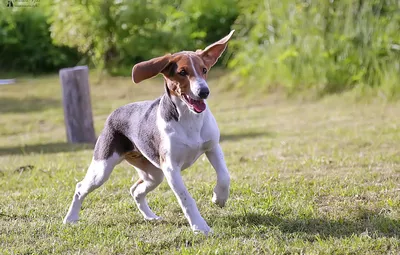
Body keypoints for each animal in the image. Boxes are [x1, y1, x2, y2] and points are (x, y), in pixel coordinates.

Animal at [62, 29, 234, 235]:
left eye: (204, 70)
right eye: (182, 72)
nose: (204, 92)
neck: (188, 118)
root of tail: (115, 112)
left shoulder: (212, 147)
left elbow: (224, 176)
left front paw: (219, 198)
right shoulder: (171, 168)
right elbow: (186, 199)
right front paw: (200, 227)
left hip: (153, 175)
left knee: (135, 190)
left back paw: (150, 217)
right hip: (102, 168)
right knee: (81, 187)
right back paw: (70, 218)